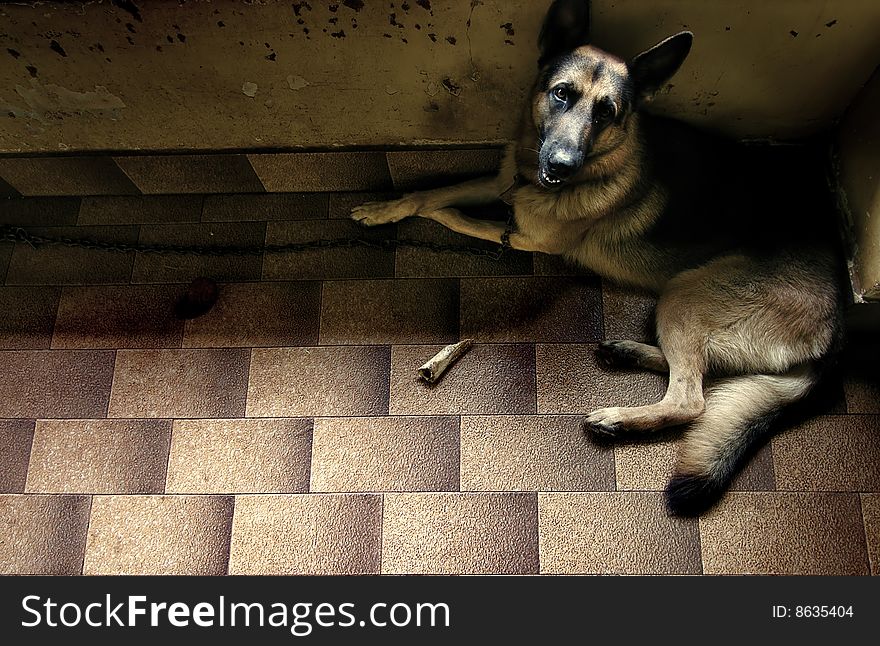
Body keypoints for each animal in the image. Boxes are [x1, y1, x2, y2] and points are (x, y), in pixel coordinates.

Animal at [350, 0, 844, 516]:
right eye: (562, 94)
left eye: (608, 112)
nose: (560, 166)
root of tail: (839, 326)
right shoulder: (504, 183)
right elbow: (433, 190)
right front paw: (385, 208)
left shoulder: (525, 236)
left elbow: (455, 214)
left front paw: (433, 214)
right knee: (706, 371)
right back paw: (627, 351)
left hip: (687, 293)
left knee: (692, 398)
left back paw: (619, 419)